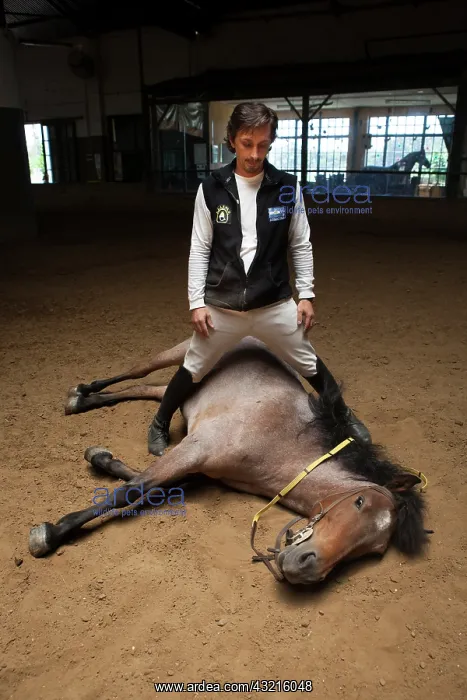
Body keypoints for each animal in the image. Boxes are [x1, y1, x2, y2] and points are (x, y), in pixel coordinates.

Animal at [28, 338, 428, 585]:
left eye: (374, 550)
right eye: (358, 502)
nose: (305, 568)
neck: (280, 442)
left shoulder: (201, 468)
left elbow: (150, 487)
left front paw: (103, 459)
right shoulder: (196, 448)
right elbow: (131, 491)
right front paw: (50, 533)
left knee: (150, 389)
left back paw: (88, 401)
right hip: (176, 354)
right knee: (138, 372)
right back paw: (83, 393)